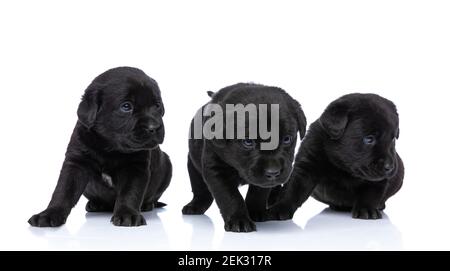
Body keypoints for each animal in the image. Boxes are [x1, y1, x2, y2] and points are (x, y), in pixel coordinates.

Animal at [28, 67, 172, 227]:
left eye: (157, 106)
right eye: (126, 106)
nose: (154, 127)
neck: (109, 148)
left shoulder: (136, 166)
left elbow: (130, 192)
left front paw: (128, 214)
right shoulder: (76, 162)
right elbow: (63, 191)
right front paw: (48, 214)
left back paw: (146, 205)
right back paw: (96, 204)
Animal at [182, 84, 306, 233]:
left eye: (287, 139)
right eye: (248, 142)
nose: (273, 172)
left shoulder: (264, 183)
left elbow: (258, 193)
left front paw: (255, 212)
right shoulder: (216, 168)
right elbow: (230, 196)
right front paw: (239, 220)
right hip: (193, 165)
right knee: (200, 190)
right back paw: (195, 206)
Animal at [268, 93, 404, 221]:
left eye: (392, 139)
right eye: (369, 139)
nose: (389, 167)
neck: (343, 166)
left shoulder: (376, 180)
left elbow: (370, 193)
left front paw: (367, 209)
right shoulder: (307, 165)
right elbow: (293, 190)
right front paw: (280, 208)